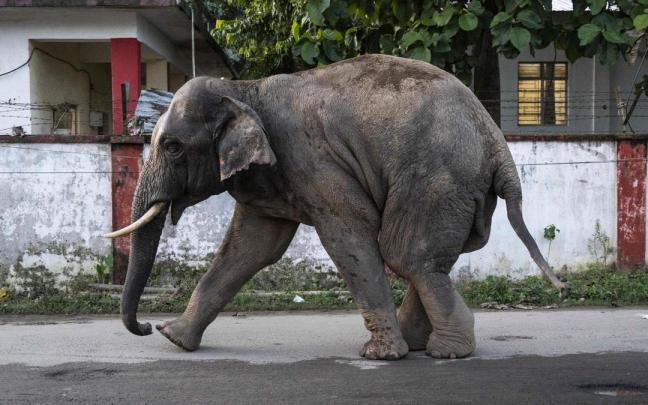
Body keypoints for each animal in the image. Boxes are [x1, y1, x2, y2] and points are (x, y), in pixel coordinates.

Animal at [104, 54, 569, 361]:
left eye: (173, 147)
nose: (145, 326)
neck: (244, 89)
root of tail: (496, 140)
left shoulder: (311, 159)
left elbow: (347, 235)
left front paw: (380, 356)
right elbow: (254, 246)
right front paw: (175, 340)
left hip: (437, 179)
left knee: (408, 255)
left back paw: (444, 352)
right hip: (464, 191)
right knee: (433, 259)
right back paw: (425, 344)